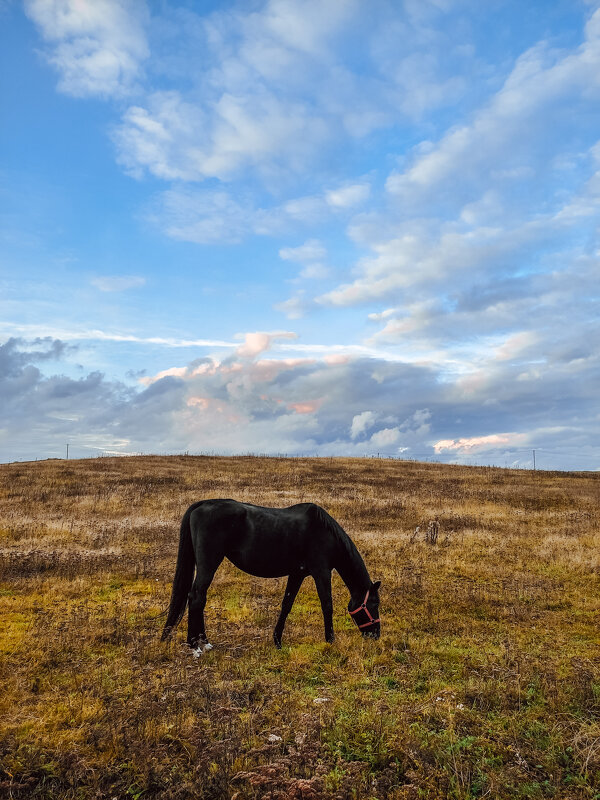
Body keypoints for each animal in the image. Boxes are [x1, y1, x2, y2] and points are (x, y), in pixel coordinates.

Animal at [162, 496, 382, 652]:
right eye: (374, 604)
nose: (376, 635)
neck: (325, 532)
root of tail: (201, 505)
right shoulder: (322, 572)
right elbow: (327, 605)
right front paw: (330, 640)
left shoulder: (297, 574)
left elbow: (286, 605)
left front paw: (277, 641)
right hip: (209, 563)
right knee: (196, 597)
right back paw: (195, 645)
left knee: (198, 598)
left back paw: (203, 642)